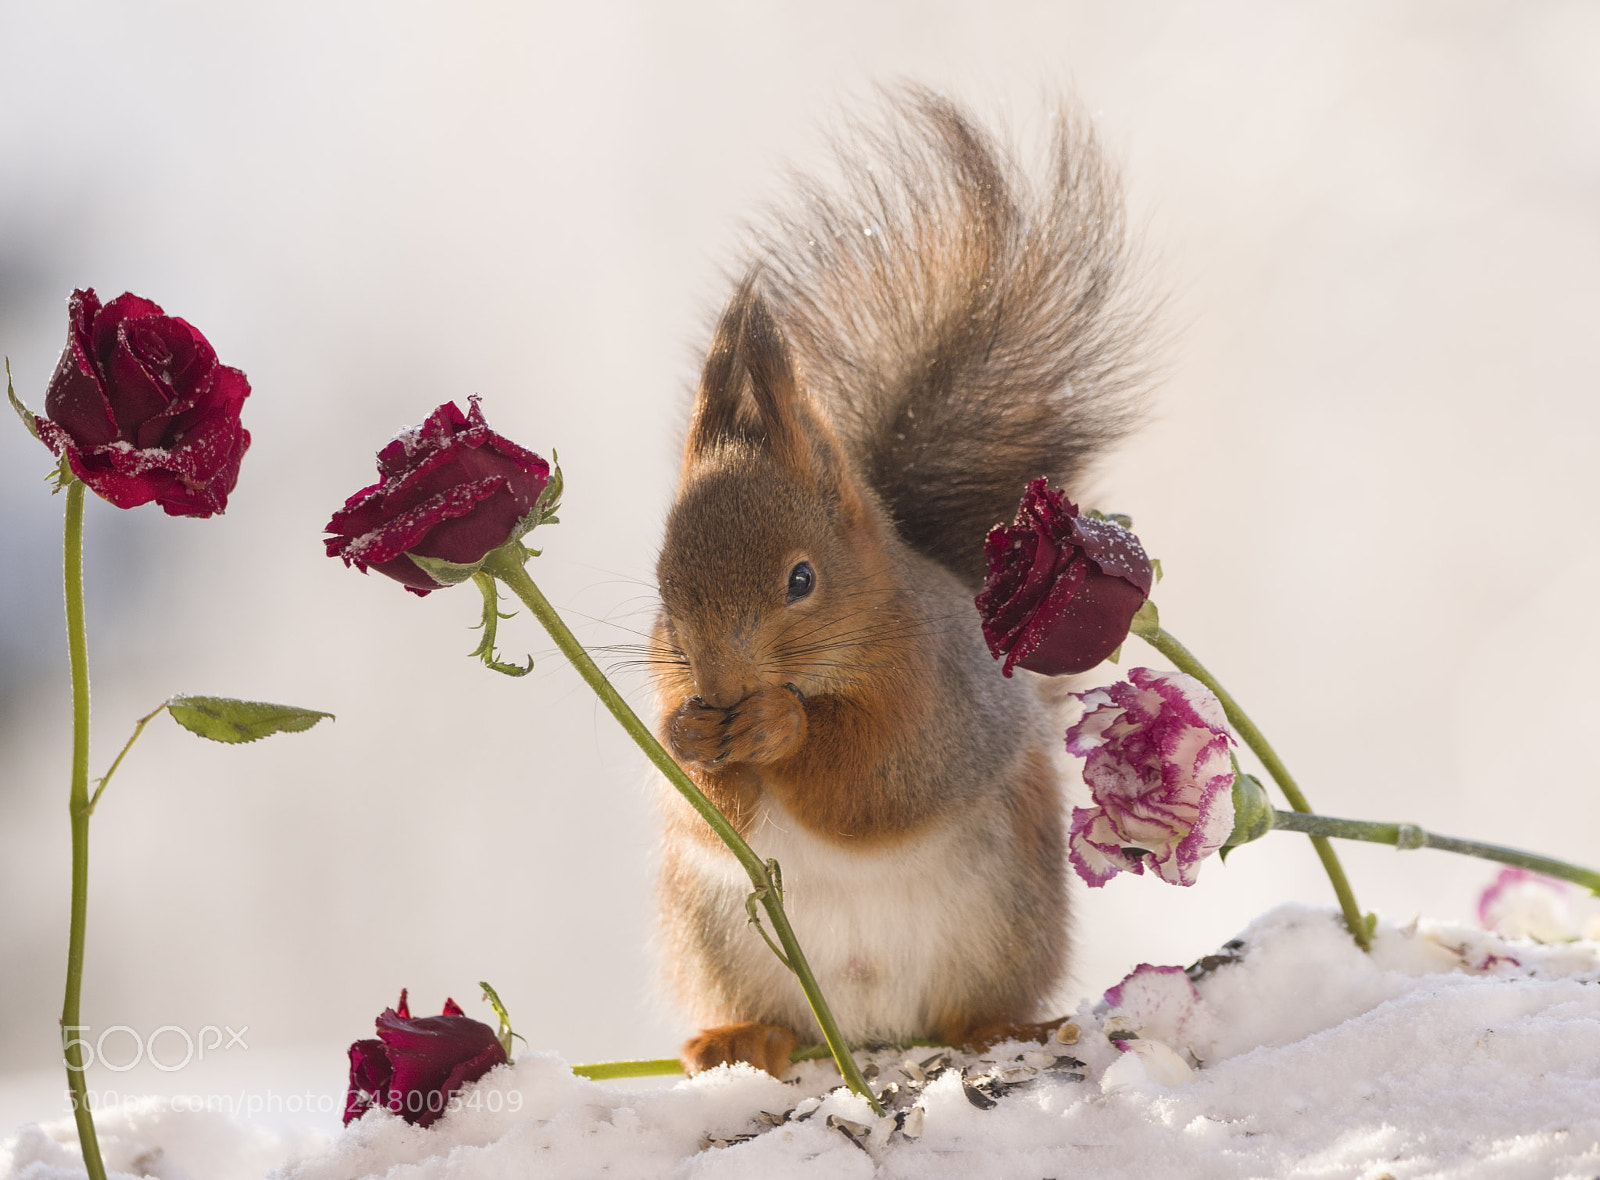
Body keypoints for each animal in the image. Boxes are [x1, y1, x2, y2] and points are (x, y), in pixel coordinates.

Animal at [650, 88, 1153, 1076]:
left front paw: (779, 726)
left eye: (802, 578)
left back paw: (995, 1027)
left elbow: (878, 782)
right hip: (714, 933)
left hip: (1003, 916)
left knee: (972, 1006)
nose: (719, 687)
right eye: (663, 586)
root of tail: (869, 1029)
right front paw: (688, 733)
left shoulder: (940, 694)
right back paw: (739, 1037)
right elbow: (695, 807)